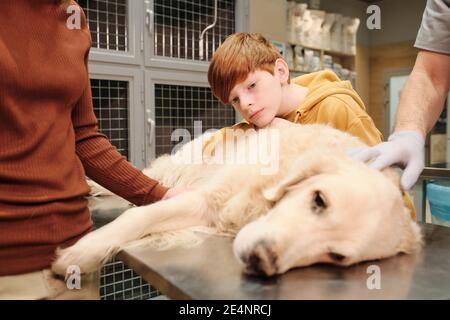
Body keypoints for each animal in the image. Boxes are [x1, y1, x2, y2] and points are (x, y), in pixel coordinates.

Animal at [51, 123, 422, 278]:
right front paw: (80, 254)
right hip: (177, 172)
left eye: (337, 257)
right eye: (319, 200)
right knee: (139, 180)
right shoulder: (204, 197)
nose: (261, 259)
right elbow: (136, 218)